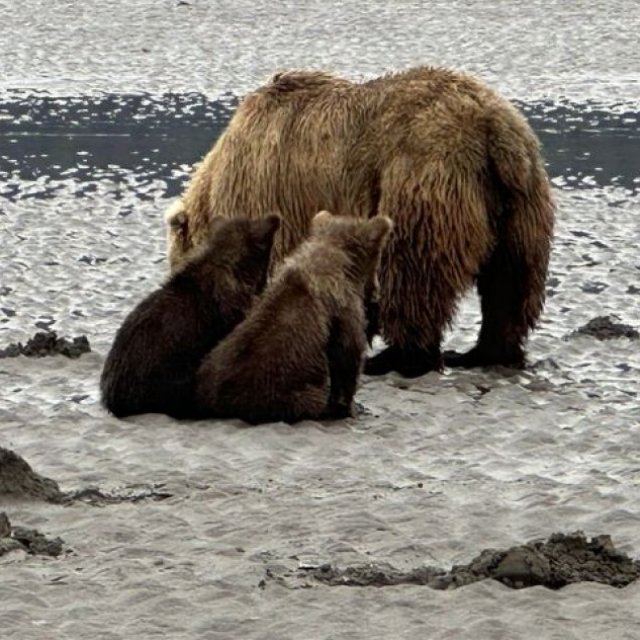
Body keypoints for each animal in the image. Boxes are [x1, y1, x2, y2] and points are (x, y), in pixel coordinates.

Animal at [166, 66, 556, 376]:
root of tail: (493, 126)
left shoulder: (269, 191)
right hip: (522, 203)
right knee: (510, 281)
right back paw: (484, 353)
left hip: (422, 180)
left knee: (413, 274)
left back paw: (400, 358)